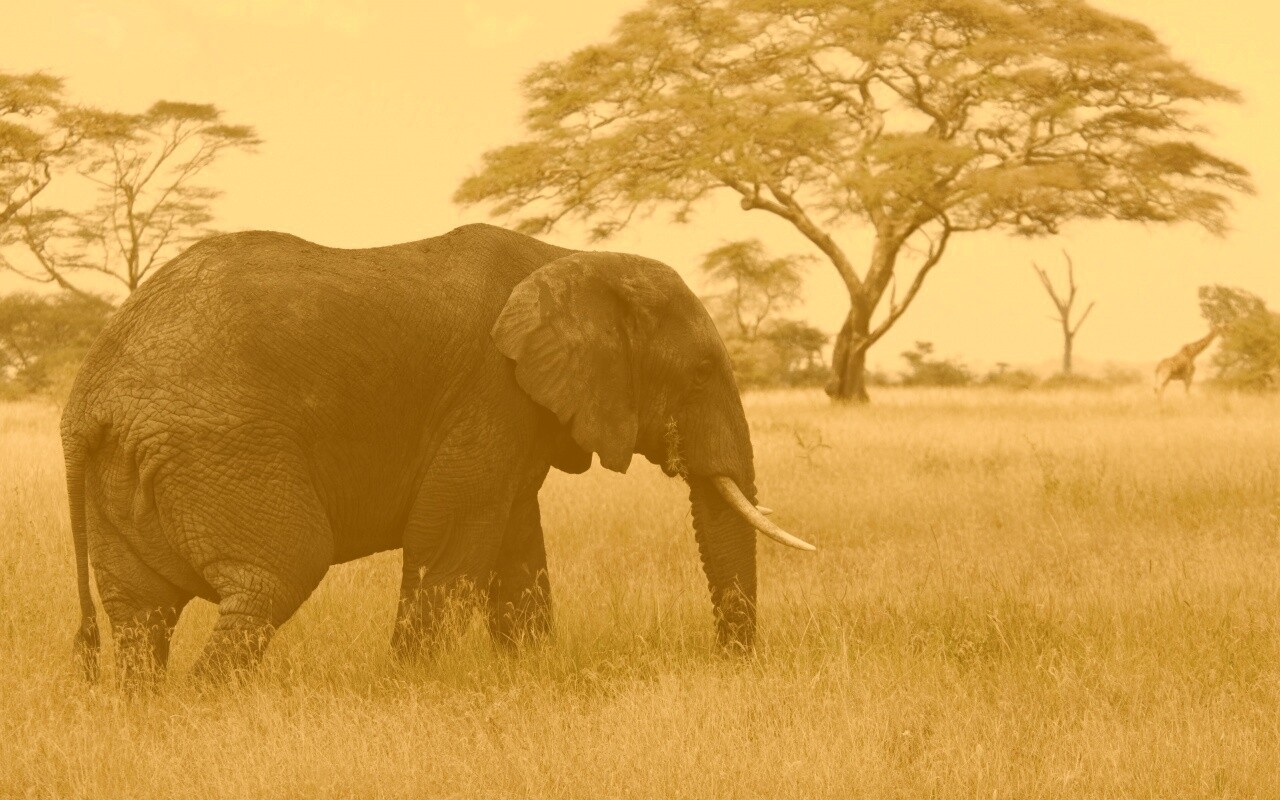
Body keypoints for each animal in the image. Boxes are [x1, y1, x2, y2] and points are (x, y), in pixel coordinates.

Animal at [62, 222, 814, 684]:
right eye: (699, 373)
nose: (730, 665)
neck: (569, 258)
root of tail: (88, 396)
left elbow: (515, 547)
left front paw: (529, 675)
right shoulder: (490, 393)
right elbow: (452, 538)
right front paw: (409, 687)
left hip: (133, 471)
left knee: (141, 616)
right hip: (221, 448)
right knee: (277, 574)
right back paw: (208, 708)